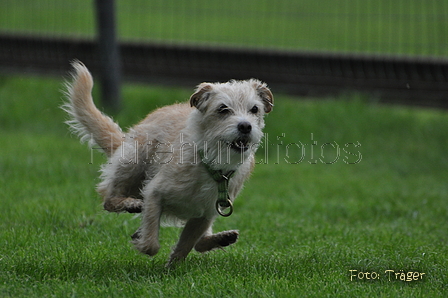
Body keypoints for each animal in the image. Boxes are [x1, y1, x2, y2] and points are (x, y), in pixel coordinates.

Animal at [63, 61, 272, 266]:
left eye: (254, 109)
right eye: (223, 109)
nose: (245, 126)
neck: (211, 163)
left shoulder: (205, 214)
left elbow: (186, 245)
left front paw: (173, 268)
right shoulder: (154, 193)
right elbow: (151, 244)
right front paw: (144, 244)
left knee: (199, 243)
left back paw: (220, 238)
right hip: (133, 161)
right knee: (109, 199)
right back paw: (129, 203)